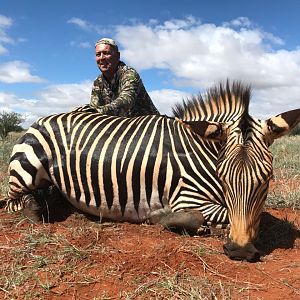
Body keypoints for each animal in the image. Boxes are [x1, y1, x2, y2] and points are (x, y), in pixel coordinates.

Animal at [4, 81, 300, 262]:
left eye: (267, 180)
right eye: (223, 177)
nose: (240, 251)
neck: (203, 151)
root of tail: (41, 119)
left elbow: (258, 216)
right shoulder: (186, 197)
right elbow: (211, 215)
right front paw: (175, 221)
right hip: (26, 168)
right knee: (14, 201)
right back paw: (34, 209)